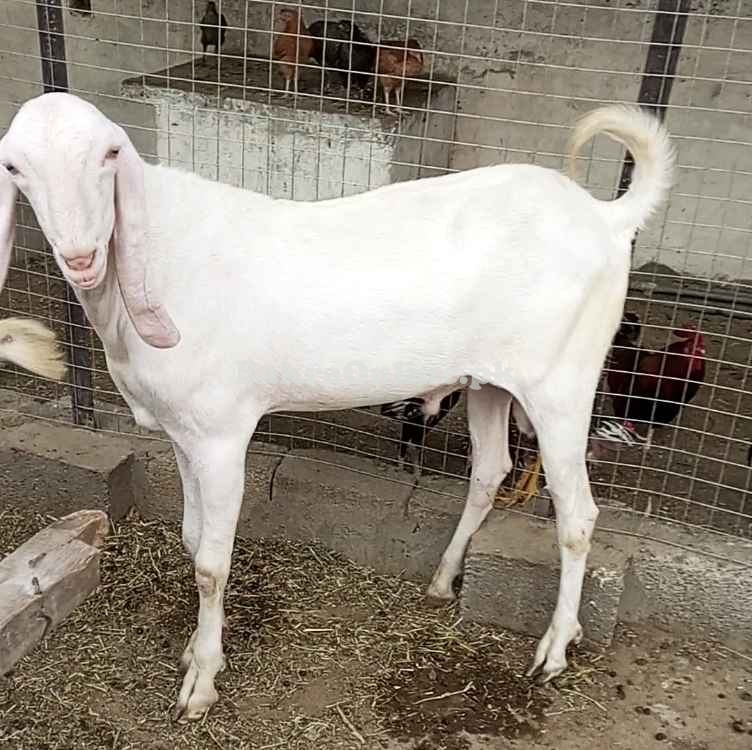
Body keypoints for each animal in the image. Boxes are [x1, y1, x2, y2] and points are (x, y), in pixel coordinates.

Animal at [0, 92, 674, 722]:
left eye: (109, 154)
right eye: (15, 166)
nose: (81, 257)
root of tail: (604, 216)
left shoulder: (221, 434)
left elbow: (212, 564)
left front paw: (202, 682)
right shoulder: (181, 431)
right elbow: (192, 539)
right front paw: (197, 648)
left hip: (562, 385)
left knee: (579, 516)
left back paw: (555, 649)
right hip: (488, 383)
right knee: (490, 471)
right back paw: (442, 581)